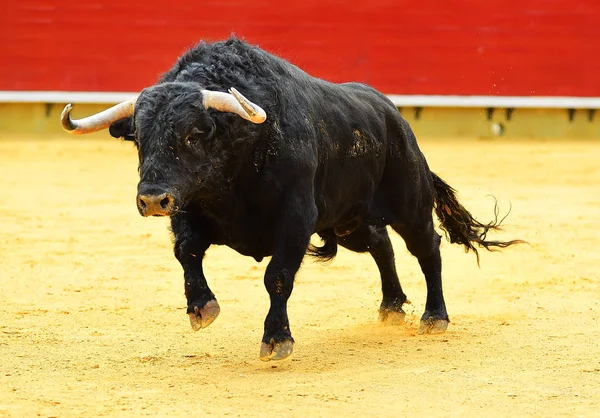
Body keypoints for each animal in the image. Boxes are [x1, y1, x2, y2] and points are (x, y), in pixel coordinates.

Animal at [61, 37, 520, 360]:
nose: (152, 200)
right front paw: (201, 308)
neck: (239, 156)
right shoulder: (188, 206)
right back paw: (391, 306)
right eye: (139, 139)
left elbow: (277, 276)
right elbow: (186, 252)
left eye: (193, 135)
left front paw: (276, 339)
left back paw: (434, 317)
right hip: (348, 222)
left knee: (427, 248)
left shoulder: (296, 218)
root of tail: (394, 116)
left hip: (409, 205)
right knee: (381, 245)